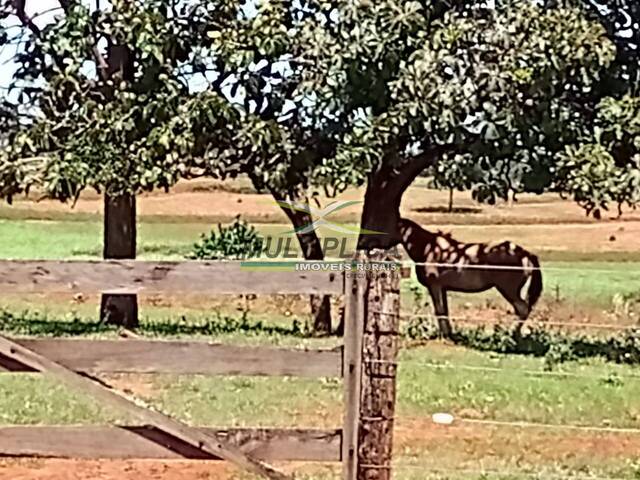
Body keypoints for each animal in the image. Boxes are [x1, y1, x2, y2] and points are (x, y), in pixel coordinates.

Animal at [398, 218, 544, 338]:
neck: (428, 249)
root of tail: (526, 254)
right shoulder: (443, 288)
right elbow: (445, 311)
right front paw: (449, 334)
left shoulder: (435, 286)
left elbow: (439, 311)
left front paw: (444, 335)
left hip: (509, 290)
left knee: (522, 309)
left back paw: (511, 335)